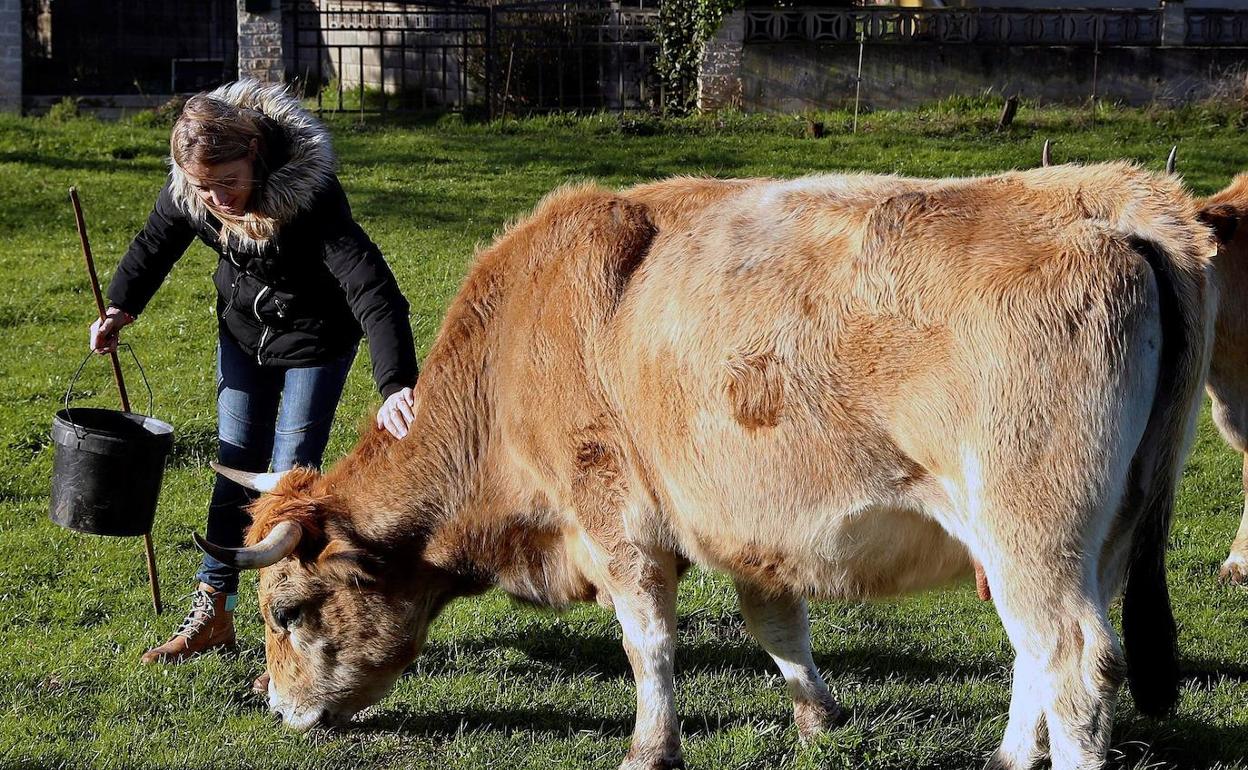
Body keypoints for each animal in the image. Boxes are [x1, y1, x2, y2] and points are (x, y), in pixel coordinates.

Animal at [197, 163, 1218, 768]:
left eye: (287, 611)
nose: (271, 706)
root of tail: (1097, 191)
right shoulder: (753, 524)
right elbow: (777, 628)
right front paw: (818, 719)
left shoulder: (617, 518)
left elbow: (648, 645)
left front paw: (650, 748)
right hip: (1094, 539)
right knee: (1038, 657)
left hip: (1030, 533)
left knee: (1074, 663)